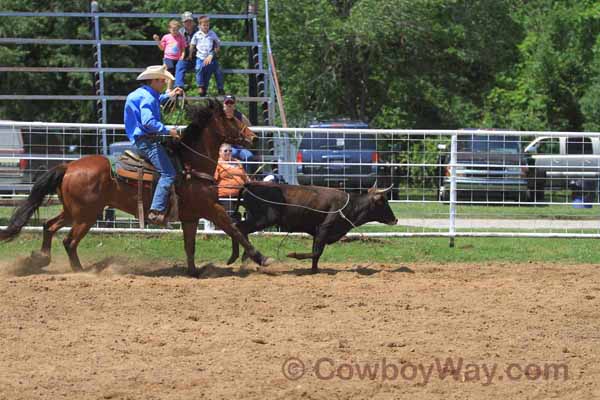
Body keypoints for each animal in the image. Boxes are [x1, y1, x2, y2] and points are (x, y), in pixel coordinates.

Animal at [0, 98, 270, 276]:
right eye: (232, 118)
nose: (254, 137)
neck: (191, 163)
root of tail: (69, 166)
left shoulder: (191, 217)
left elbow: (190, 246)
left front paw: (193, 271)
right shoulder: (212, 208)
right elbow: (235, 230)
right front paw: (261, 257)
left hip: (73, 211)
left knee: (49, 226)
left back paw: (42, 258)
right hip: (86, 215)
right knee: (69, 241)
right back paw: (80, 271)